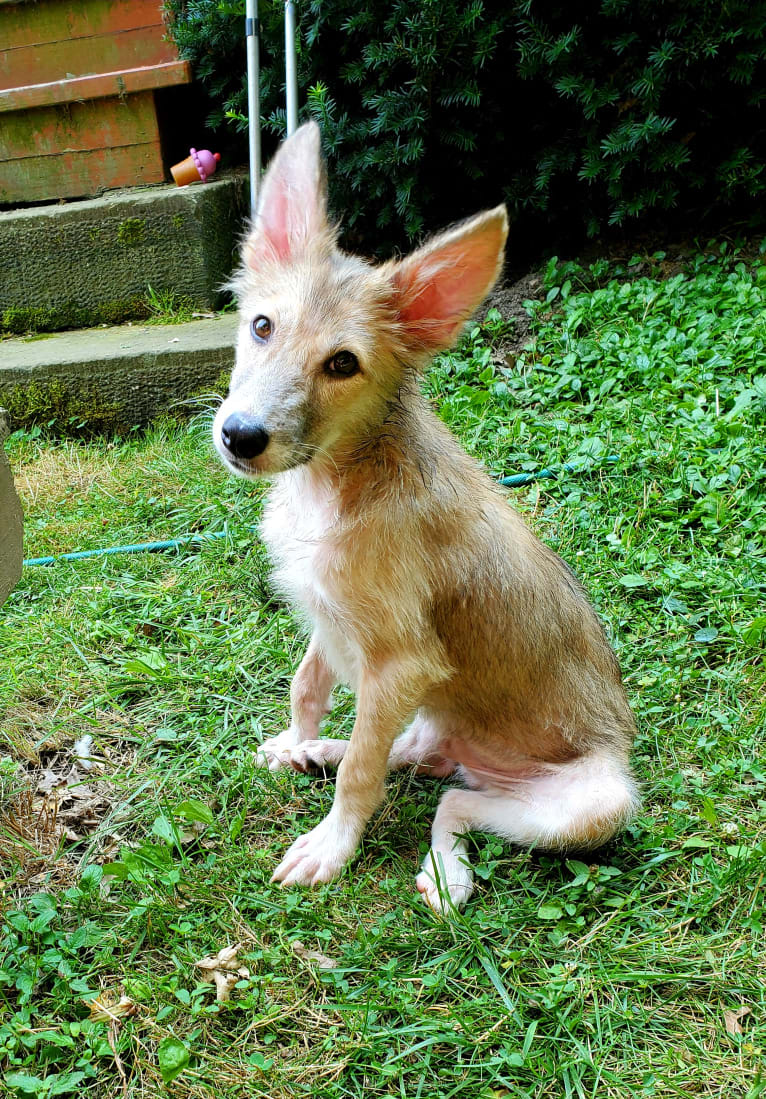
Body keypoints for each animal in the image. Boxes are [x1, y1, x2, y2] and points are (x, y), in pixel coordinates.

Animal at [212, 122, 637, 909]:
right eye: (261, 326)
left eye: (342, 364)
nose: (241, 436)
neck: (335, 481)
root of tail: (473, 760)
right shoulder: (333, 619)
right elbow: (309, 686)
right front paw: (296, 739)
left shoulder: (400, 660)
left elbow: (362, 775)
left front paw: (332, 845)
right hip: (433, 719)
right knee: (411, 759)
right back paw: (321, 752)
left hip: (593, 803)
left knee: (446, 799)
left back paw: (446, 872)